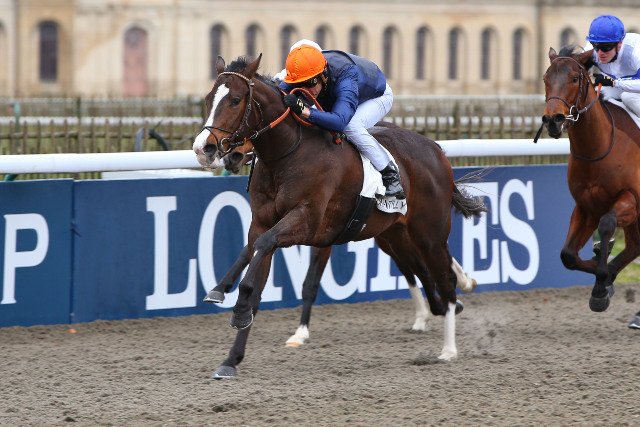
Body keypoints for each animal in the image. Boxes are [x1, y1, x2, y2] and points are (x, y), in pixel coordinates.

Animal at [193, 54, 486, 378]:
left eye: (234, 100)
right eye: (208, 98)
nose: (203, 148)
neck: (288, 153)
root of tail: (437, 151)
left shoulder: (307, 223)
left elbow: (267, 254)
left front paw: (239, 306)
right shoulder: (261, 224)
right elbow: (255, 269)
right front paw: (231, 356)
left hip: (429, 233)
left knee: (444, 276)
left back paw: (449, 347)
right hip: (395, 233)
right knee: (422, 270)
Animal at [541, 45, 640, 314]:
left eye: (575, 78)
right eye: (545, 78)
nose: (553, 120)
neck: (598, 148)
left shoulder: (631, 200)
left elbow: (606, 224)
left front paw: (601, 283)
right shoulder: (586, 206)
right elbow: (568, 255)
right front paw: (603, 278)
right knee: (634, 246)